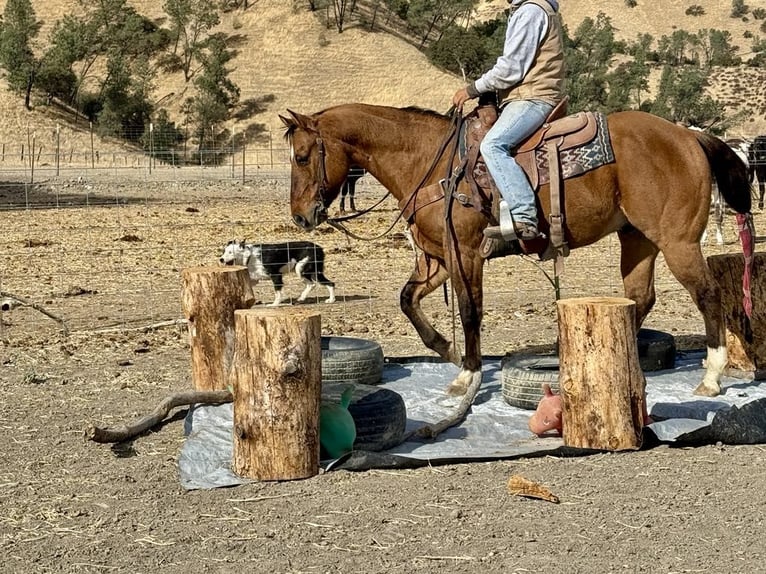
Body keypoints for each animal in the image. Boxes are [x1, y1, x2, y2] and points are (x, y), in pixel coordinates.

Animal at [281, 103, 753, 431]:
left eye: (302, 156)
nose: (301, 217)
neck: (428, 163)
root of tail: (688, 136)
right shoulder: (437, 257)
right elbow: (407, 300)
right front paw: (448, 350)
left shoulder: (466, 252)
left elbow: (469, 312)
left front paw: (468, 376)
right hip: (637, 239)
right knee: (639, 298)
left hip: (677, 242)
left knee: (708, 294)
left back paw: (712, 376)